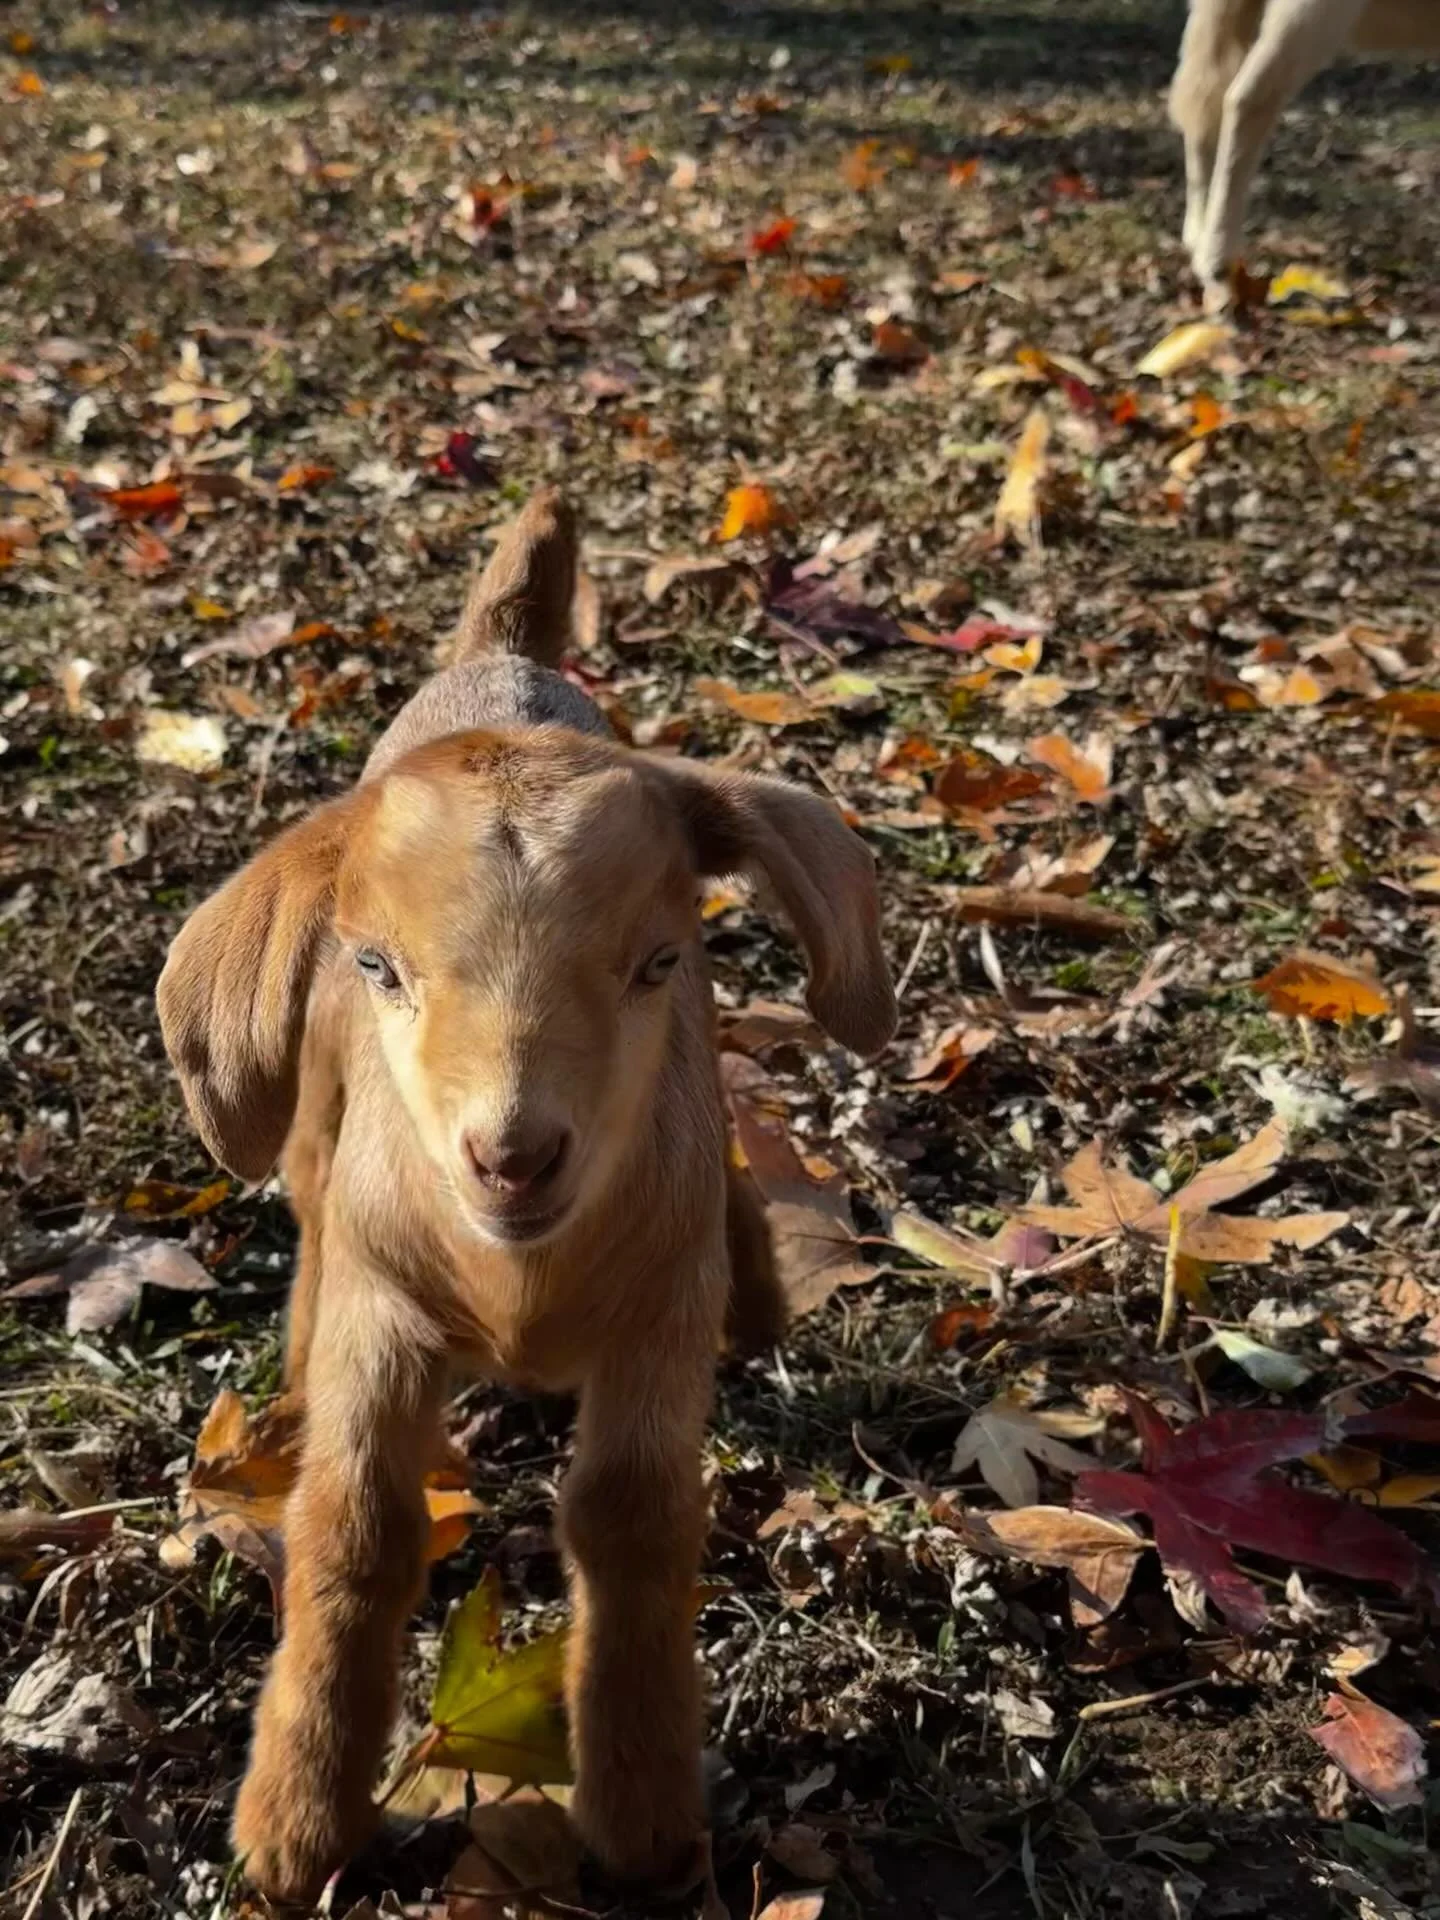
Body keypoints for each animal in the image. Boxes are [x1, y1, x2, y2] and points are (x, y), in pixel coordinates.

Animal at [156, 489, 897, 1904]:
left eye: (659, 960)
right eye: (377, 964)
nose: (511, 1155)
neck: (519, 1288)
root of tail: (504, 655)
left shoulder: (657, 1315)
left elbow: (631, 1518)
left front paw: (644, 1819)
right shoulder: (389, 1311)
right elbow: (356, 1525)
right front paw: (292, 1828)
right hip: (320, 1116)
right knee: (313, 1196)